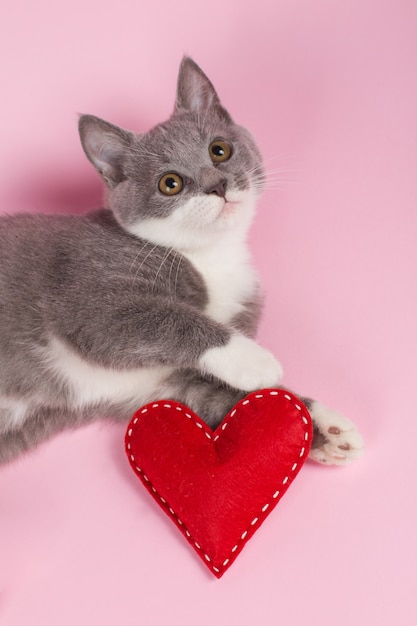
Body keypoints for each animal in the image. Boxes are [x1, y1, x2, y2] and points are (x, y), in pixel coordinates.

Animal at [0, 58, 362, 466]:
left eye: (219, 150)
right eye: (169, 183)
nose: (217, 184)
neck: (209, 256)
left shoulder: (169, 383)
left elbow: (228, 397)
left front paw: (325, 428)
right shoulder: (86, 293)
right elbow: (162, 318)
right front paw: (255, 360)